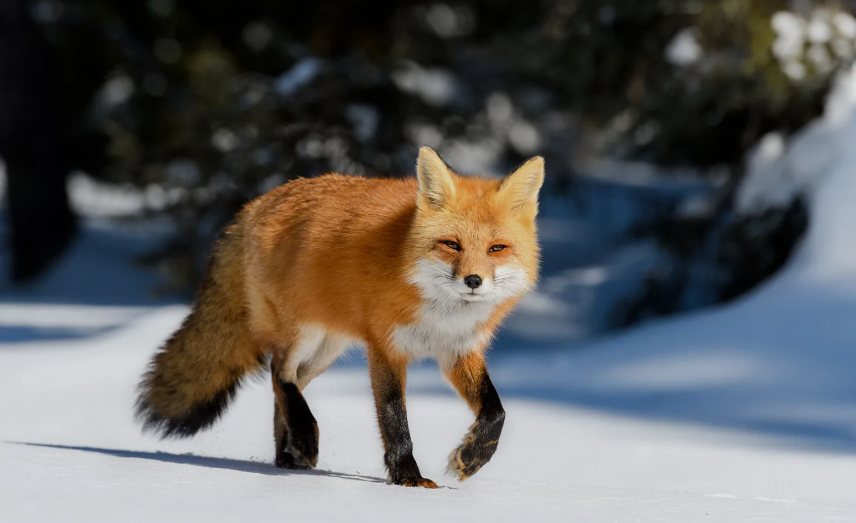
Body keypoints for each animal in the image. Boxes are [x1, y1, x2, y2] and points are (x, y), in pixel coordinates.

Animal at [136, 146, 544, 488]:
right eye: (451, 245)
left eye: (496, 248)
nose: (473, 280)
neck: (440, 315)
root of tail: (256, 203)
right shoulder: (385, 348)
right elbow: (395, 420)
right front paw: (408, 480)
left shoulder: (459, 351)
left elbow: (496, 412)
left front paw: (471, 458)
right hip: (301, 334)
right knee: (278, 373)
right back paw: (304, 438)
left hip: (326, 350)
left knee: (284, 390)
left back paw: (288, 457)